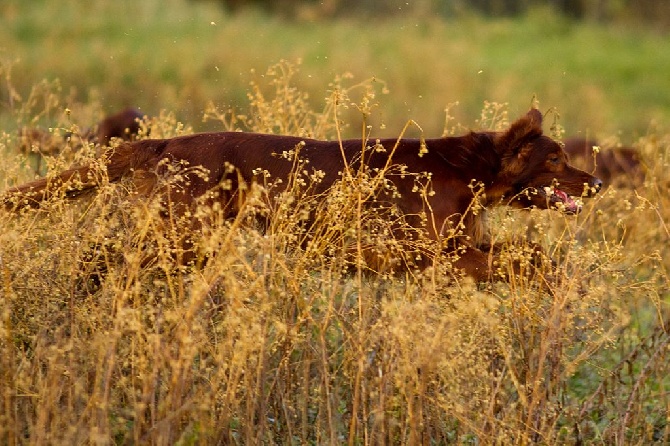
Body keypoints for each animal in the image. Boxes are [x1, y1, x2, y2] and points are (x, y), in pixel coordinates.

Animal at [3, 109, 604, 280]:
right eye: (556, 159)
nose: (598, 183)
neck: (471, 169)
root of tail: (165, 141)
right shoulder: (425, 253)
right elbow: (524, 258)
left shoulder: (451, 252)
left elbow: (525, 253)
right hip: (180, 234)